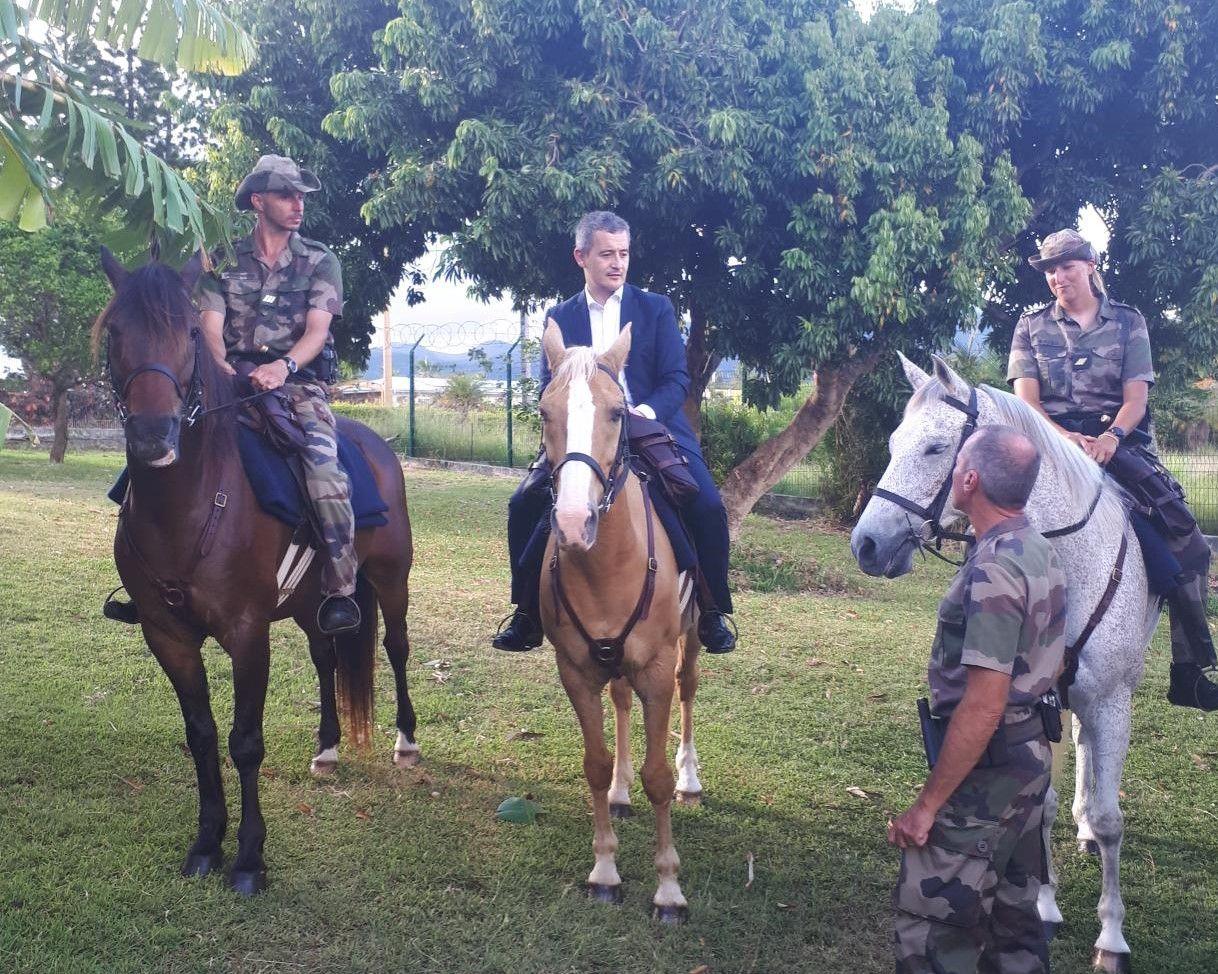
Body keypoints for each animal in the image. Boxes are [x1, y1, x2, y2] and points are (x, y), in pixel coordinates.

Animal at [95, 253, 418, 896]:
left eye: (190, 333)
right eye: (115, 332)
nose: (153, 436)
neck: (190, 502)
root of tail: (375, 443)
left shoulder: (247, 633)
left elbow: (245, 742)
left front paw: (248, 858)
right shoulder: (167, 637)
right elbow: (201, 735)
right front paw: (205, 844)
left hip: (392, 580)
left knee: (396, 647)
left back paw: (405, 741)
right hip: (312, 602)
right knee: (326, 653)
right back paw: (327, 748)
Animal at [538, 326, 701, 920]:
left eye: (616, 413)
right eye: (544, 412)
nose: (572, 523)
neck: (607, 563)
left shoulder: (654, 667)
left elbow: (658, 777)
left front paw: (669, 887)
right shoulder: (576, 670)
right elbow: (595, 762)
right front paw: (605, 869)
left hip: (691, 637)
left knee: (688, 688)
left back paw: (691, 777)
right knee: (621, 702)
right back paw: (620, 791)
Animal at [852, 353, 1154, 969]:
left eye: (935, 449)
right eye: (894, 443)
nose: (865, 545)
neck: (1066, 561)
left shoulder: (1112, 699)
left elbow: (1112, 821)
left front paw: (1112, 936)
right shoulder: (1044, 698)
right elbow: (1042, 804)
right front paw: (1045, 904)